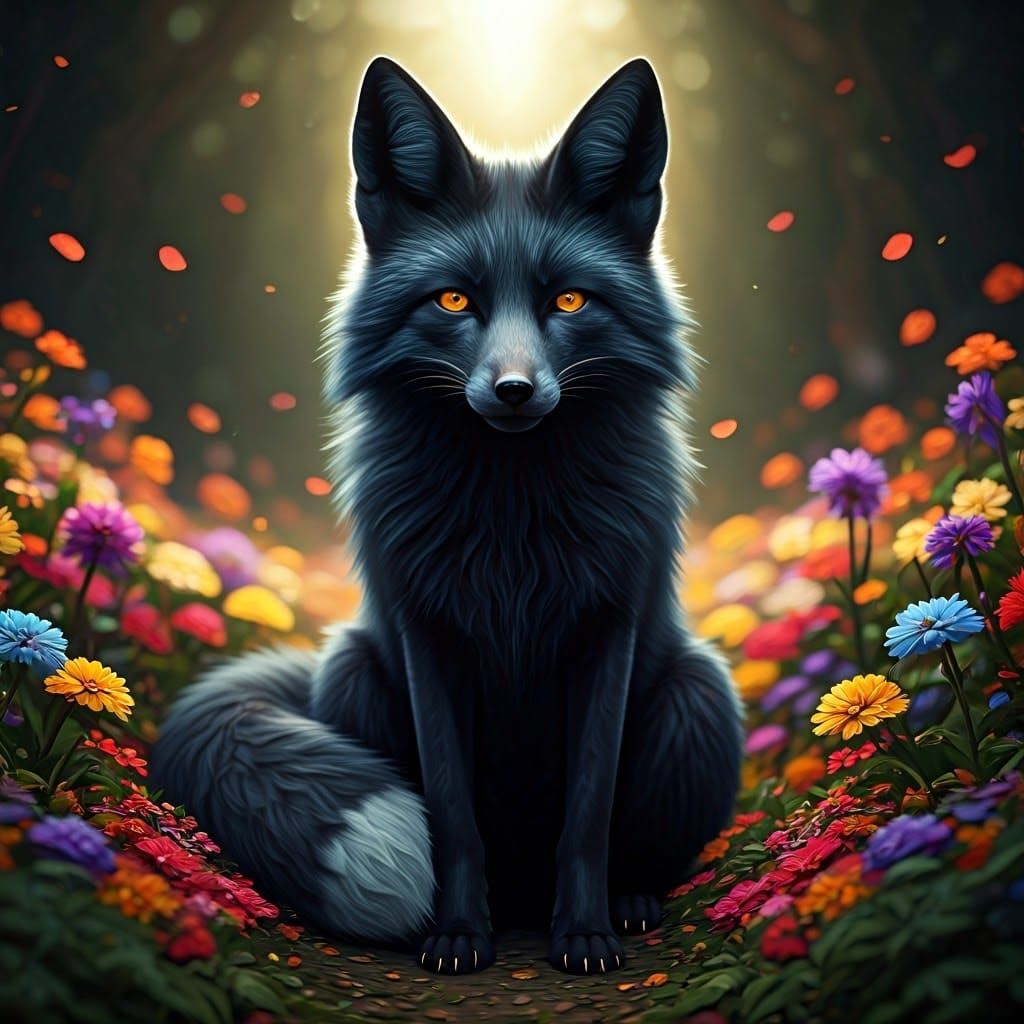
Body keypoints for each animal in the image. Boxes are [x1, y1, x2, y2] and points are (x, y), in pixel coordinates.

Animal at [151, 55, 742, 976]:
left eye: (570, 303)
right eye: (455, 301)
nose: (514, 391)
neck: (512, 524)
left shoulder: (605, 631)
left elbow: (588, 816)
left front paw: (585, 936)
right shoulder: (426, 634)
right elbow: (454, 816)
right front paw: (459, 935)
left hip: (697, 693)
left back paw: (629, 902)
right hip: (353, 669)